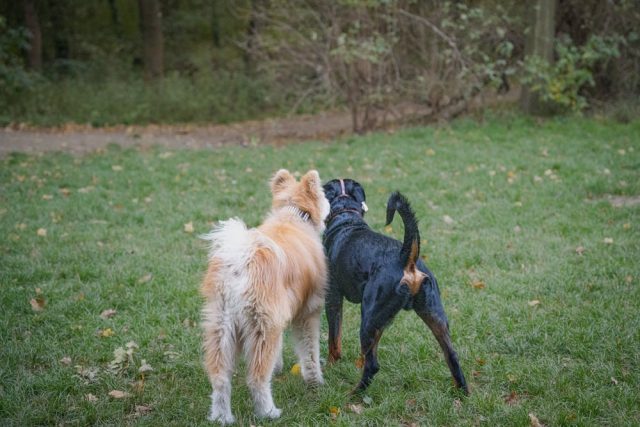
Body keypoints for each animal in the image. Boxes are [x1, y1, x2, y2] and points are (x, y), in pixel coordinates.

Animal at [201, 169, 330, 422]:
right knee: (257, 378)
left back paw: (222, 417)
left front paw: (278, 368)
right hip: (262, 327)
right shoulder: (307, 313)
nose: (330, 202)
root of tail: (241, 259)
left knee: (220, 379)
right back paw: (268, 413)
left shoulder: (281, 318)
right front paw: (315, 382)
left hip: (222, 328)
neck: (293, 214)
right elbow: (310, 353)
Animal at [322, 178, 468, 394]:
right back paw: (463, 392)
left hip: (368, 317)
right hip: (433, 315)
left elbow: (334, 341)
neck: (346, 216)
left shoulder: (332, 299)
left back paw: (354, 393)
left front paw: (330, 366)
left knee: (373, 365)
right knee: (452, 355)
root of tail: (406, 259)